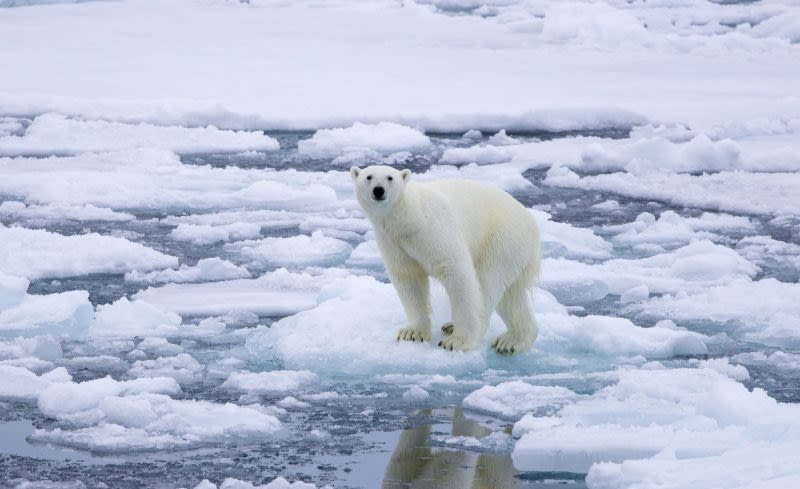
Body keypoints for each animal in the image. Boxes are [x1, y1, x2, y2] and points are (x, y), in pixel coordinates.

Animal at [350, 165, 541, 354]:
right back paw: (511, 341)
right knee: (511, 297)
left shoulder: (435, 230)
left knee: (488, 282)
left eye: (390, 177)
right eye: (368, 177)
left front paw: (457, 341)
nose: (378, 190)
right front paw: (412, 333)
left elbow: (457, 271)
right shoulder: (393, 242)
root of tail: (532, 223)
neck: (410, 218)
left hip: (501, 239)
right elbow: (408, 279)